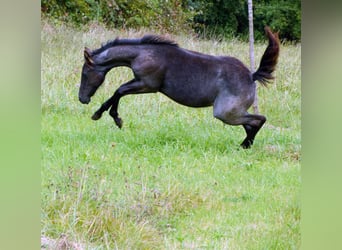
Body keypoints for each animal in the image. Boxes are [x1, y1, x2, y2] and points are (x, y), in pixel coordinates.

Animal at [79, 27, 280, 148]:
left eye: (85, 73)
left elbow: (119, 91)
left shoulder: (147, 85)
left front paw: (107, 116)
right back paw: (244, 146)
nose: (82, 98)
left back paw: (245, 145)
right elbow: (118, 92)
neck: (144, 54)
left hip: (225, 112)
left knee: (259, 119)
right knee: (250, 124)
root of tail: (251, 75)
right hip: (233, 112)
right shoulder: (141, 82)